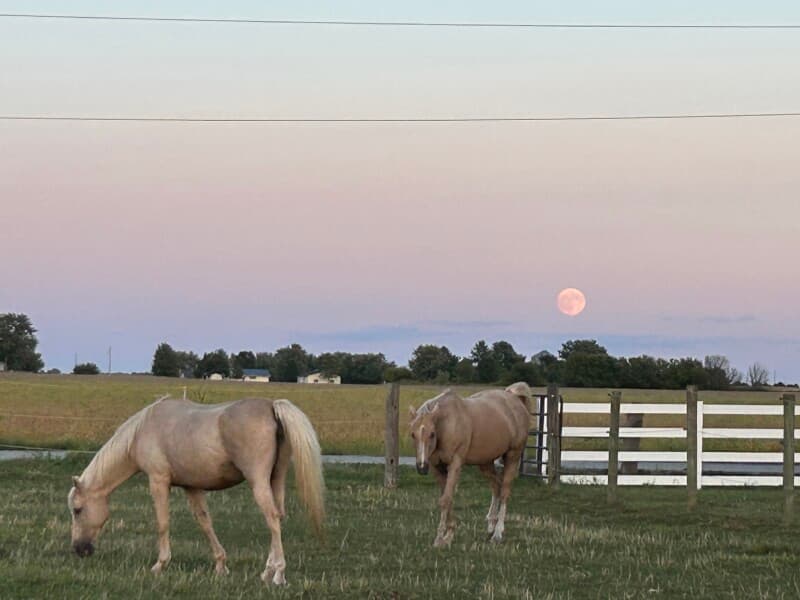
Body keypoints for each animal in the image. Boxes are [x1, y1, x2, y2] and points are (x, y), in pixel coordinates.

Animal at [67, 395, 324, 586]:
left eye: (78, 510)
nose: (79, 550)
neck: (143, 430)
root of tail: (272, 407)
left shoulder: (158, 481)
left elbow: (163, 523)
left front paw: (160, 564)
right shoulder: (192, 487)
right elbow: (204, 522)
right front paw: (221, 565)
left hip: (258, 482)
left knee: (271, 518)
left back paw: (278, 574)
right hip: (275, 479)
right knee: (278, 517)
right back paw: (267, 571)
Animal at [408, 382, 531, 547]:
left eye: (432, 434)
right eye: (413, 434)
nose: (421, 467)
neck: (447, 423)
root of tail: (514, 398)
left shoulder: (455, 464)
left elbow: (445, 499)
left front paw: (441, 538)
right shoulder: (436, 468)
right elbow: (447, 498)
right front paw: (448, 534)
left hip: (513, 456)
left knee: (505, 491)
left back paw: (498, 533)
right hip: (485, 463)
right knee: (496, 486)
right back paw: (491, 525)